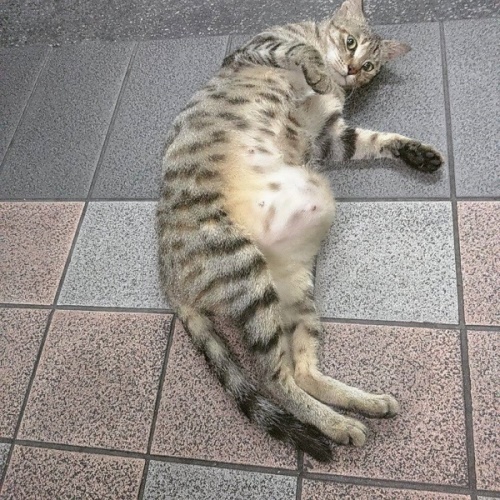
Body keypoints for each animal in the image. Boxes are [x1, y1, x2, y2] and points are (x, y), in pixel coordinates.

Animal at [157, 0, 443, 462]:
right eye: (351, 42)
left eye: (370, 66)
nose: (351, 70)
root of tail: (169, 281)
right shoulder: (257, 48)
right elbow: (299, 51)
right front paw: (319, 70)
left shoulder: (330, 134)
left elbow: (374, 139)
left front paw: (417, 153)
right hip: (245, 269)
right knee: (274, 378)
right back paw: (340, 424)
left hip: (295, 291)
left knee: (300, 372)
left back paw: (361, 408)